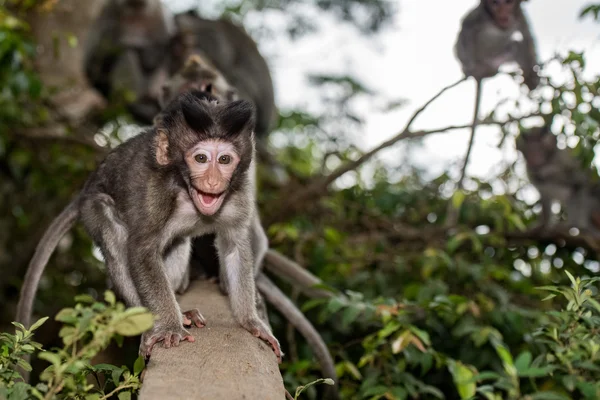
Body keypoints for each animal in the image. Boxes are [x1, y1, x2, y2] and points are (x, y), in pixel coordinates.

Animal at [15, 91, 284, 362]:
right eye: (201, 158)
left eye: (225, 159)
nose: (213, 180)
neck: (186, 190)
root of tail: (86, 189)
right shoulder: (155, 192)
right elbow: (141, 250)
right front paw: (170, 327)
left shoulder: (239, 194)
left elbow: (235, 247)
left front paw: (252, 322)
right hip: (91, 206)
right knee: (113, 232)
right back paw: (149, 322)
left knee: (179, 243)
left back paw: (181, 310)